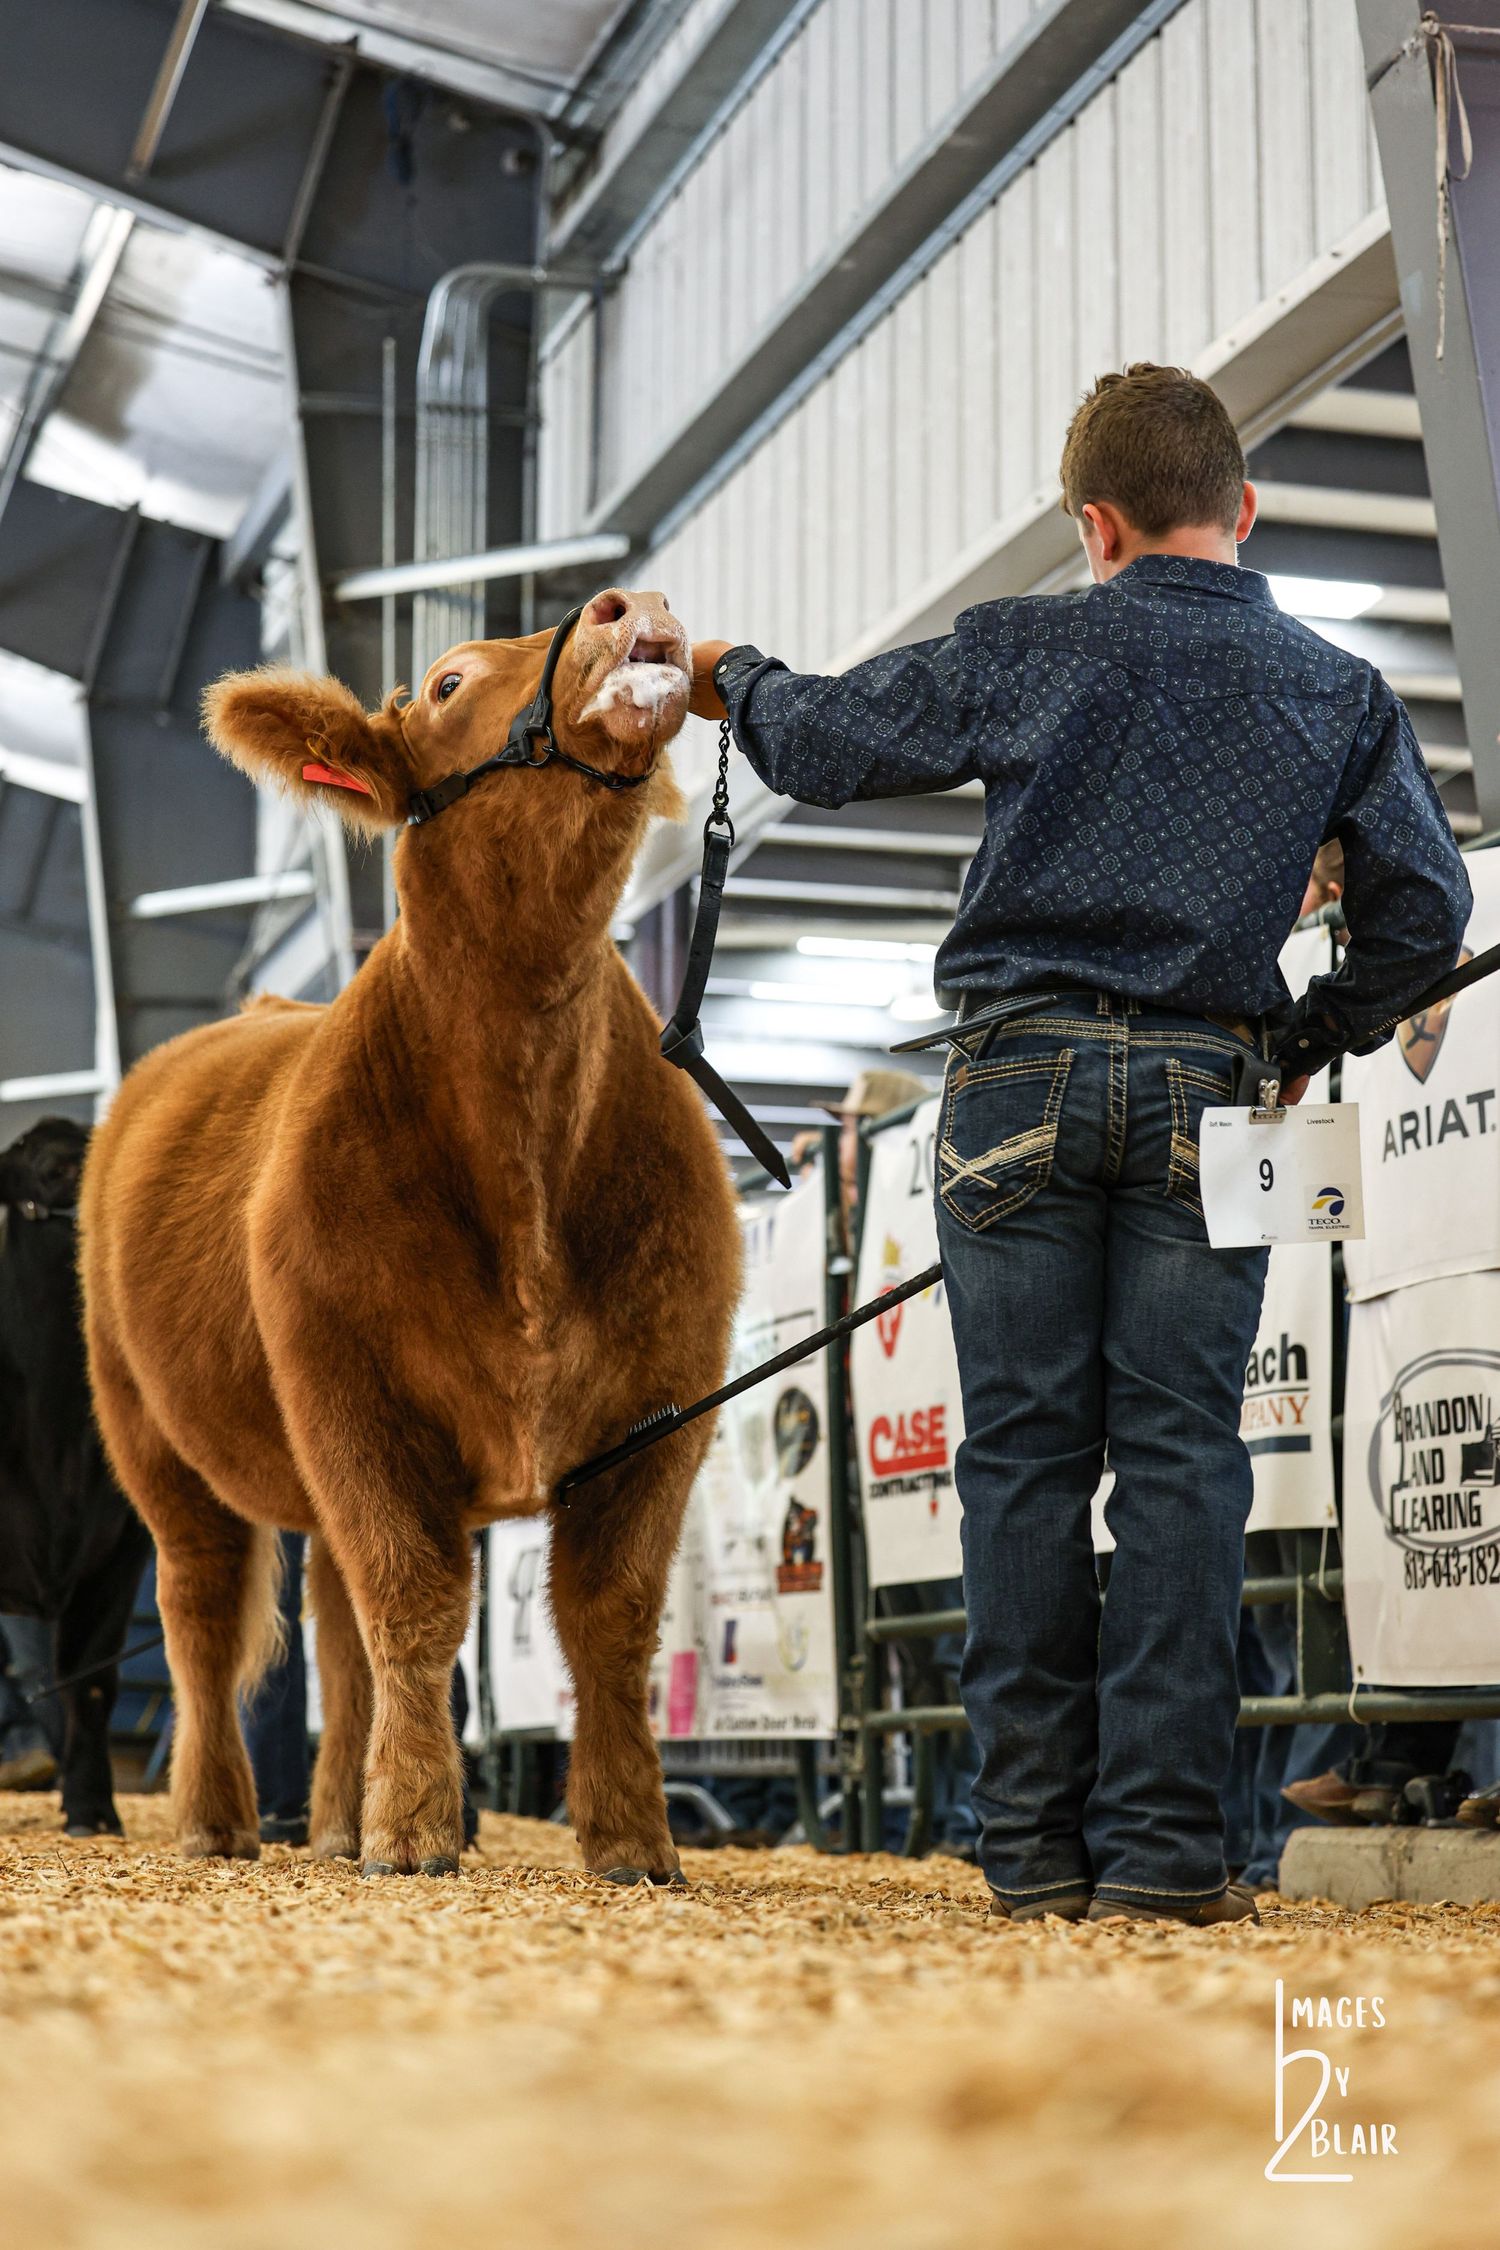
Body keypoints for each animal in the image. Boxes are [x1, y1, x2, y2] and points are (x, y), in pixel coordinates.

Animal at [80, 590, 741, 1881]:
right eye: (444, 682)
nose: (630, 605)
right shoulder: (352, 1389)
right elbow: (418, 1603)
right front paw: (419, 1826)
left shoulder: (665, 1402)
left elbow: (610, 1623)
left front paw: (632, 1838)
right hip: (151, 1439)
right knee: (202, 1614)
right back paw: (220, 1821)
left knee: (335, 1630)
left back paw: (336, 1818)